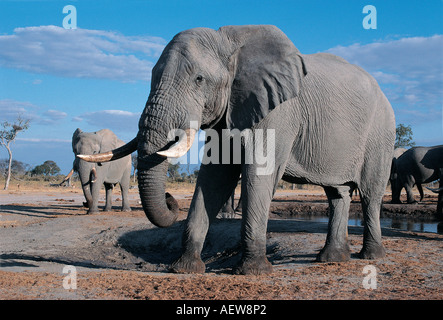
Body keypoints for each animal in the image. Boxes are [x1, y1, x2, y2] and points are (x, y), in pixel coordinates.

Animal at [78, 25, 398, 276]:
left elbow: (258, 174)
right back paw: (331, 259)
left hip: (381, 133)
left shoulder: (278, 112)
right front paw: (185, 268)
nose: (170, 199)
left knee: (369, 194)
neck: (230, 42)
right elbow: (214, 178)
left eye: (199, 80)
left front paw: (253, 271)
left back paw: (370, 256)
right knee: (337, 194)